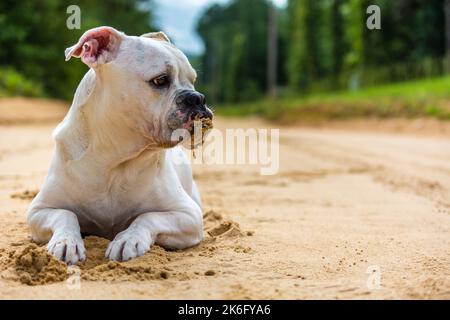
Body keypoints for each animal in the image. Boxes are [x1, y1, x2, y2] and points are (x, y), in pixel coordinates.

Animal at [27, 26, 214, 264]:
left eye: (193, 80)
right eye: (160, 80)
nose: (198, 98)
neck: (115, 158)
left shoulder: (188, 215)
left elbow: (147, 217)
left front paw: (128, 239)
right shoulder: (39, 210)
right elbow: (65, 214)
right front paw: (66, 241)